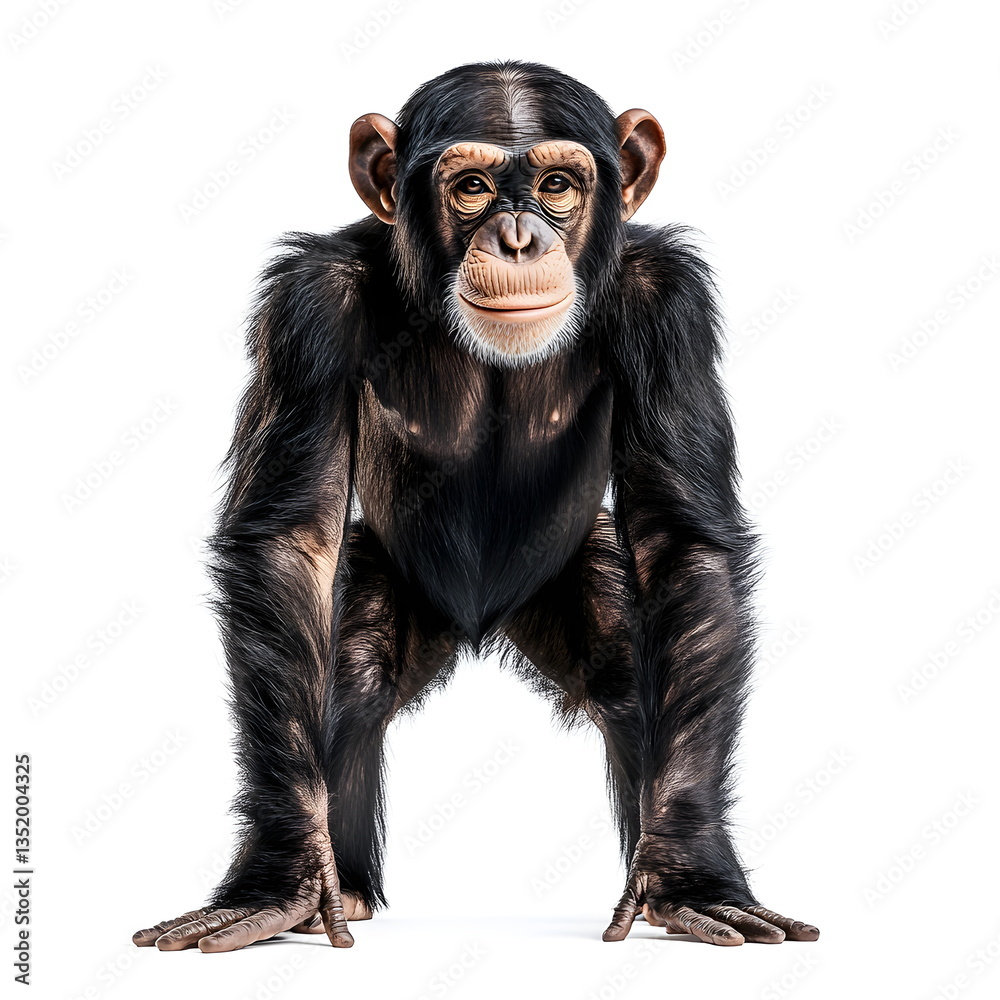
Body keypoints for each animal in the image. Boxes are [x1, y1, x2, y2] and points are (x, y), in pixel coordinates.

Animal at [133, 60, 819, 953]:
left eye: (557, 185)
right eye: (472, 188)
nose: (519, 236)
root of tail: (480, 623)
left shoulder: (669, 305)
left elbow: (680, 543)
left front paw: (688, 873)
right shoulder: (308, 306)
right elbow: (291, 542)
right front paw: (277, 878)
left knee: (630, 668)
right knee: (349, 670)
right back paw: (341, 889)